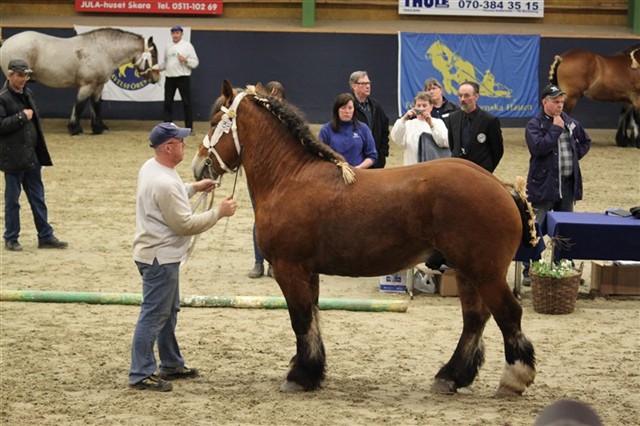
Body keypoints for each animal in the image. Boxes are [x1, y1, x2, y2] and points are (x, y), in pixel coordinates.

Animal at [192, 80, 536, 396]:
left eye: (215, 121)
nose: (199, 167)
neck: (290, 177)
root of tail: (500, 185)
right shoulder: (308, 272)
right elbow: (313, 318)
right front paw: (311, 372)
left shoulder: (289, 269)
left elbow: (300, 320)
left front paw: (299, 376)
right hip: (466, 272)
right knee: (474, 319)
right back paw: (451, 376)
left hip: (485, 273)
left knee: (508, 314)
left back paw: (514, 377)